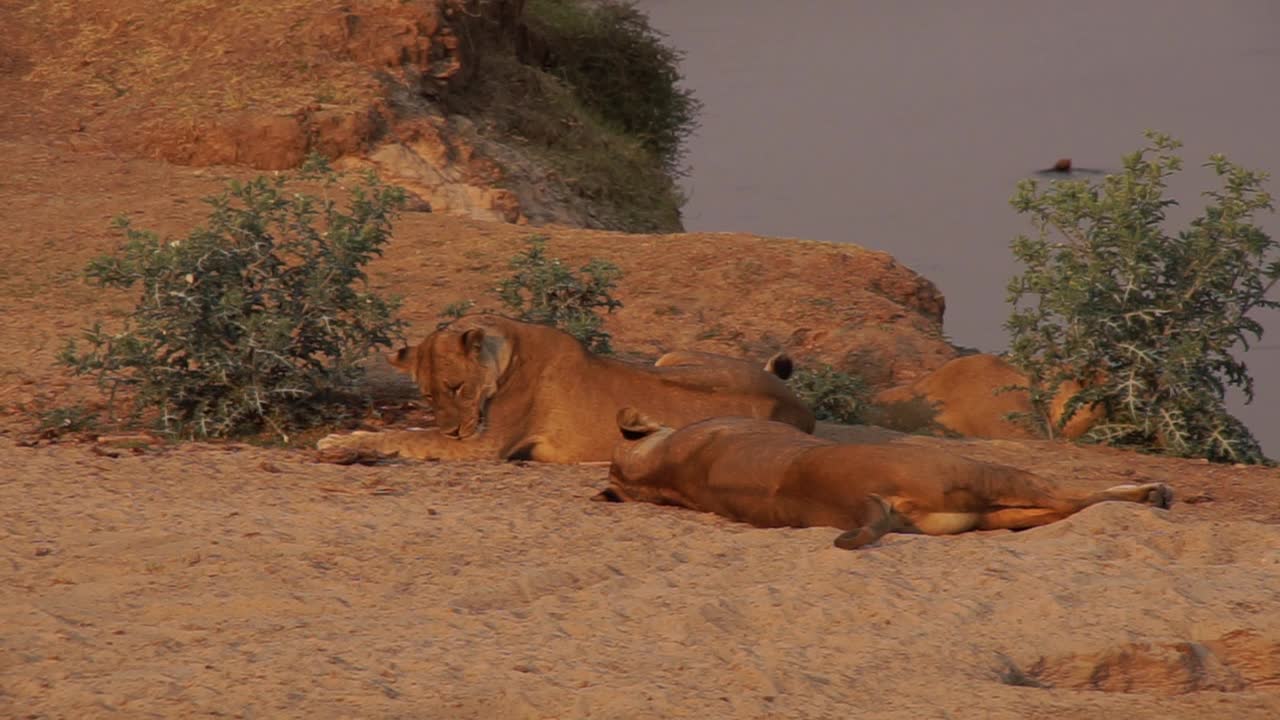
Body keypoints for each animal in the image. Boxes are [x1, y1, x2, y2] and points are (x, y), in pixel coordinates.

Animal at [317, 315, 808, 461]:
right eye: (427, 396)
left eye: (457, 388)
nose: (453, 429)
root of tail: (799, 406)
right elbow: (412, 431)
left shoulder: (484, 446)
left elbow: (409, 437)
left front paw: (342, 442)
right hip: (671, 357)